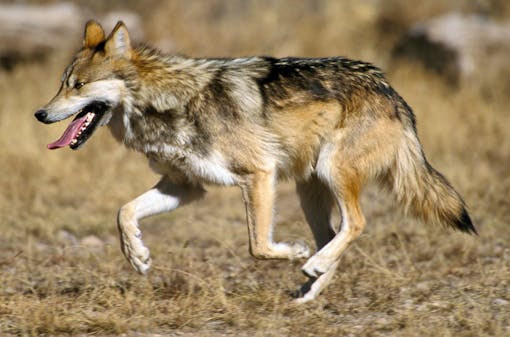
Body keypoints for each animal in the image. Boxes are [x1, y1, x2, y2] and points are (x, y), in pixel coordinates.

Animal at [33, 19, 476, 302]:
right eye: (61, 84)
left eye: (79, 85)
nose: (39, 113)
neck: (166, 103)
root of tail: (390, 89)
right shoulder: (185, 187)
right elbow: (124, 212)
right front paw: (138, 256)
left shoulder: (258, 174)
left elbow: (258, 246)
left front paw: (292, 252)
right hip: (310, 191)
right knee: (334, 235)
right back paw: (309, 288)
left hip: (331, 173)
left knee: (356, 224)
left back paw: (310, 264)